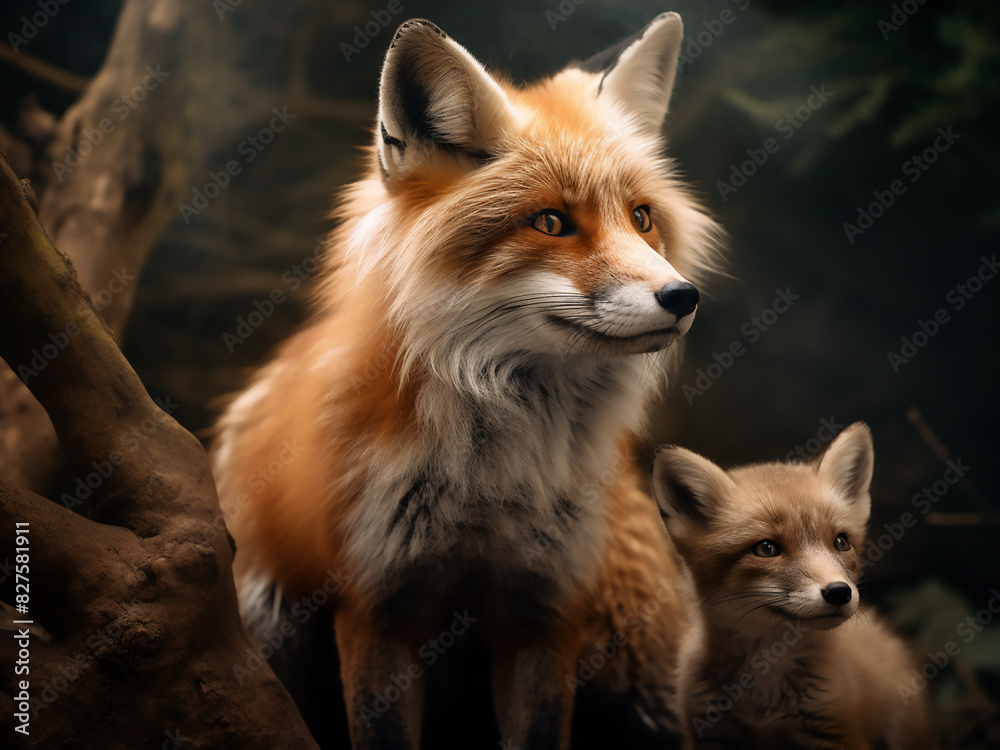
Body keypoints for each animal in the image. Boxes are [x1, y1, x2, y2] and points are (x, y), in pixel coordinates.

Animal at [212, 13, 722, 749]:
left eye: (642, 218)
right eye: (551, 222)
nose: (683, 297)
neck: (488, 484)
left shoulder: (546, 611)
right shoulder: (378, 605)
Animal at [649, 422, 934, 750]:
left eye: (841, 542)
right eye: (766, 548)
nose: (840, 592)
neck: (765, 702)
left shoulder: (836, 731)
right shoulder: (710, 736)